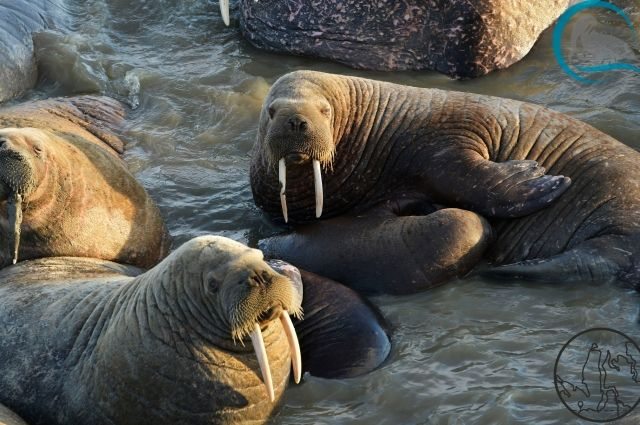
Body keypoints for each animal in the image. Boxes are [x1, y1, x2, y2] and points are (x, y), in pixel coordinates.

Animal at [250, 71, 640, 294]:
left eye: (325, 110)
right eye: (271, 111)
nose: (296, 121)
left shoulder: (447, 142)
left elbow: (472, 179)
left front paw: (542, 179)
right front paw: (537, 177)